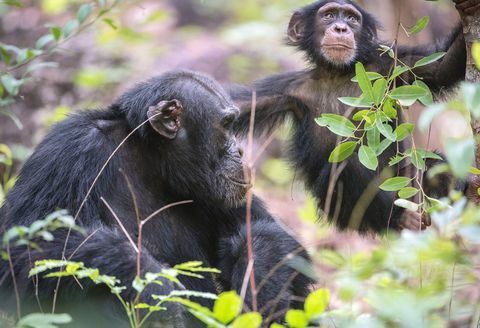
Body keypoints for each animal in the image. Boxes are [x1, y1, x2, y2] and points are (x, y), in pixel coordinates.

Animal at [0, 70, 312, 326]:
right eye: (226, 125)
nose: (240, 151)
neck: (151, 160)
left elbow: (278, 238)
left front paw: (261, 276)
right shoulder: (69, 150)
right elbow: (22, 248)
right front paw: (149, 277)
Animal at [229, 0, 476, 233]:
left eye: (351, 18)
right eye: (328, 15)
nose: (341, 27)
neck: (337, 73)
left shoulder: (395, 64)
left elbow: (441, 67)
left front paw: (469, 6)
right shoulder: (283, 89)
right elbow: (235, 107)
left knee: (437, 168)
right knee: (349, 165)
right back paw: (401, 219)